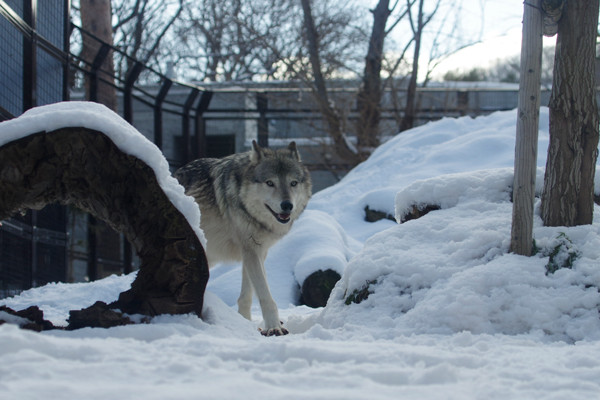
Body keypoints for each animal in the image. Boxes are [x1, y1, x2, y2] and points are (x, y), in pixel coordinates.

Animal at [175, 140, 312, 334]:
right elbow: (265, 295)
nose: (287, 205)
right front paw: (274, 327)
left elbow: (247, 294)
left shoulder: (256, 251)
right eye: (270, 183)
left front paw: (246, 323)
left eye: (293, 183)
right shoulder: (250, 251)